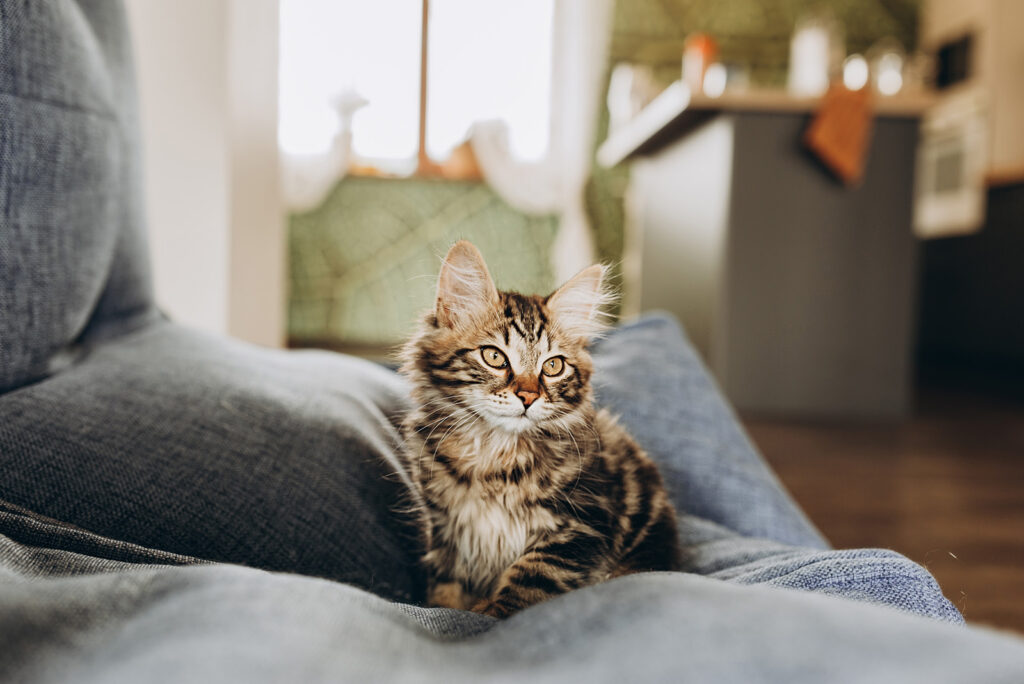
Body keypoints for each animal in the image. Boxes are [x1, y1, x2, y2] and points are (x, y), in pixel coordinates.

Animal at [399, 241, 679, 618]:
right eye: (494, 357)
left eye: (553, 366)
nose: (529, 397)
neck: (494, 453)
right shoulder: (446, 530)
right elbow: (447, 588)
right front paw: (447, 608)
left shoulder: (579, 525)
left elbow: (529, 579)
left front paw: (492, 613)